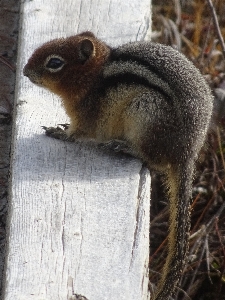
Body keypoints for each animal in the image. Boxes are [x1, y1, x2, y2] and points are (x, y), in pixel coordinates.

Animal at [23, 31, 214, 298]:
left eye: (55, 63)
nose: (25, 71)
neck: (93, 77)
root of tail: (188, 153)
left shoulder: (87, 118)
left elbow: (76, 133)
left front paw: (59, 132)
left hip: (146, 113)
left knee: (154, 159)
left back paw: (124, 146)